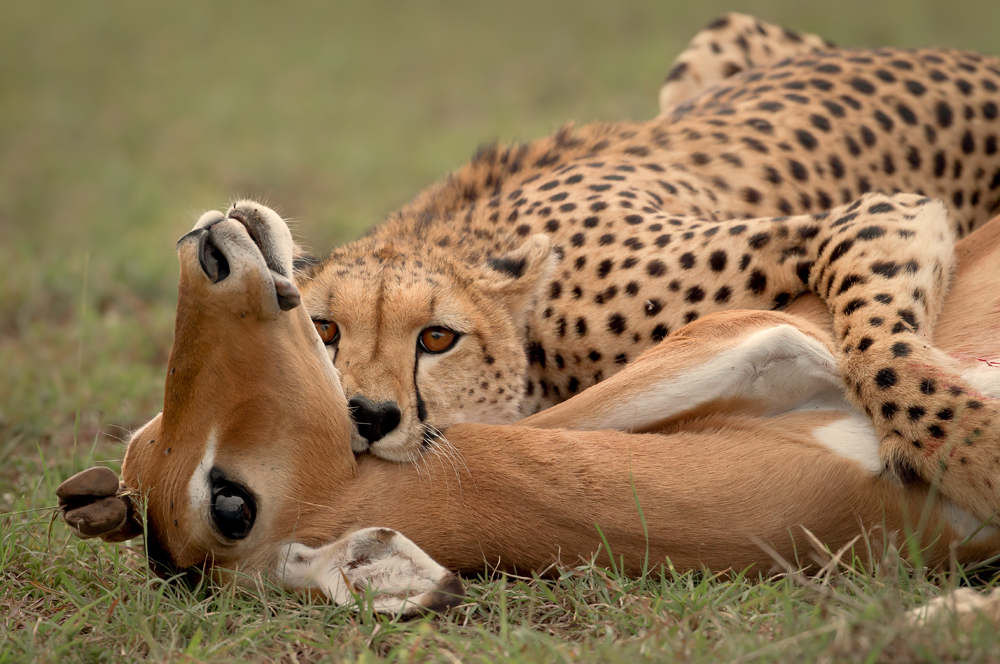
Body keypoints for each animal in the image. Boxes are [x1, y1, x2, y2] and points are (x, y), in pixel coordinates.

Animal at [298, 13, 1000, 520]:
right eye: (323, 331)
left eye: (437, 338)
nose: (367, 416)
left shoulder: (875, 213)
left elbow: (881, 357)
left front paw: (980, 458)